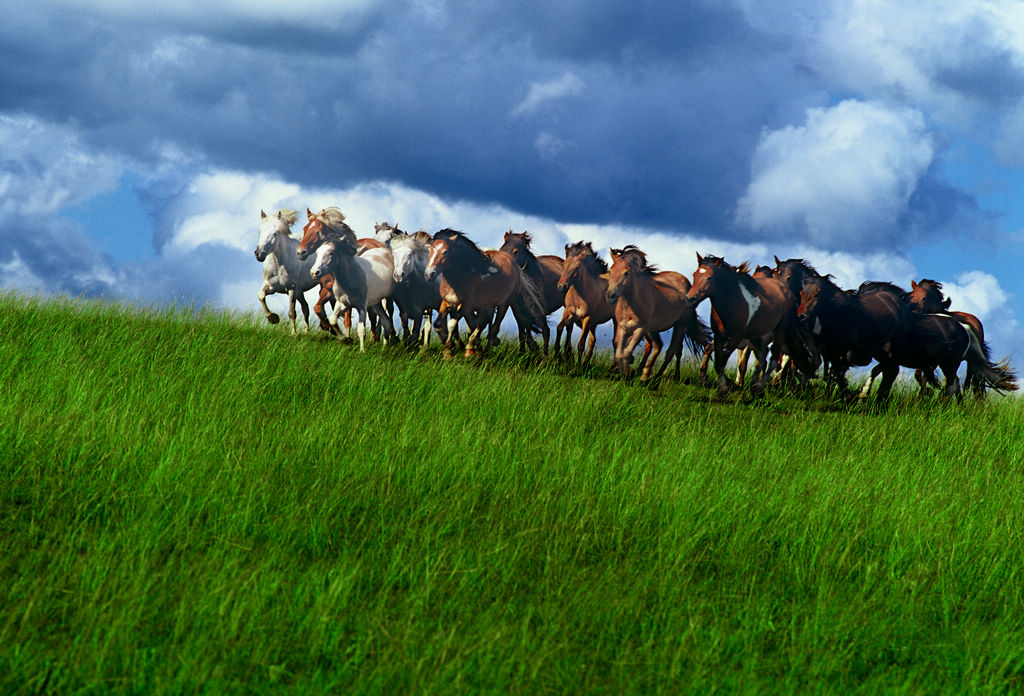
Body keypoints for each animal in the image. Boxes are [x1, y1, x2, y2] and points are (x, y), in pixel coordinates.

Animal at [602, 245, 708, 386]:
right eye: (610, 271)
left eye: (626, 273)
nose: (610, 296)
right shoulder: (622, 327)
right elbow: (620, 352)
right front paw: (625, 372)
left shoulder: (641, 329)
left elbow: (626, 352)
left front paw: (628, 373)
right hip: (654, 329)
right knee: (660, 346)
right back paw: (645, 375)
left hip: (680, 324)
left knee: (672, 349)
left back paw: (656, 379)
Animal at [688, 253, 815, 397]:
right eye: (694, 275)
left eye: (709, 277)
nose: (690, 298)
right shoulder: (721, 336)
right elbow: (718, 358)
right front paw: (716, 382)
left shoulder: (738, 337)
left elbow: (730, 361)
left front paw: (729, 385)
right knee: (768, 359)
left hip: (779, 336)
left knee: (777, 360)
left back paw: (768, 385)